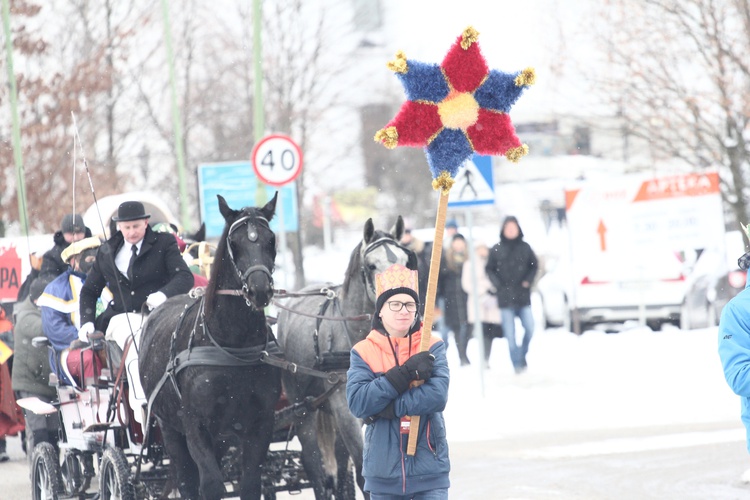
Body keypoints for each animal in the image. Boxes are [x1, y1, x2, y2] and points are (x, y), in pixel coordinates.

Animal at [141, 193, 282, 498]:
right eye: (234, 242)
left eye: (270, 239)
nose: (259, 289)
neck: (232, 347)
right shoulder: (195, 425)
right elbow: (211, 485)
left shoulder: (260, 424)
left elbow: (250, 483)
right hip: (170, 428)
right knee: (186, 479)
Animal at [276, 217, 418, 498]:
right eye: (372, 265)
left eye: (405, 262)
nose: (403, 300)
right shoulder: (346, 410)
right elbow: (364, 471)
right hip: (303, 410)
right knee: (314, 463)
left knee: (341, 468)